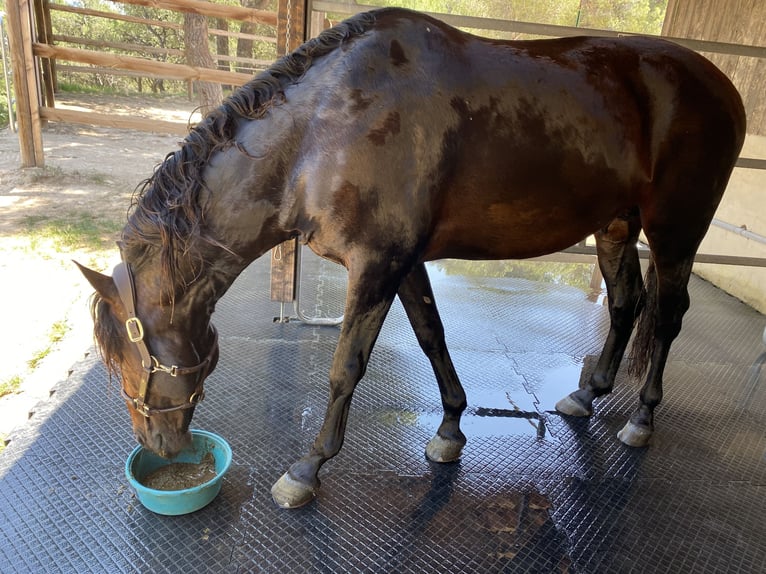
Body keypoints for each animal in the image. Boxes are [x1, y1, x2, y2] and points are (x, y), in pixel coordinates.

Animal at [76, 7, 744, 508]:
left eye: (130, 357)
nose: (159, 444)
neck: (321, 132)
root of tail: (722, 86)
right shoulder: (404, 263)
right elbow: (431, 335)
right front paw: (449, 431)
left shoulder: (376, 264)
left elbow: (346, 366)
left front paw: (307, 469)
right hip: (615, 226)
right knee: (628, 301)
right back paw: (588, 393)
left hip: (675, 231)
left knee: (668, 313)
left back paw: (642, 420)